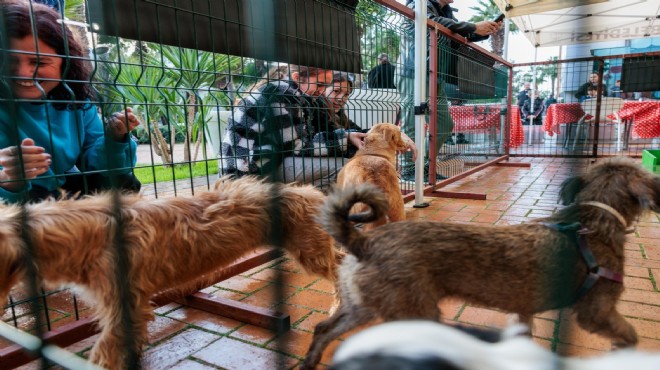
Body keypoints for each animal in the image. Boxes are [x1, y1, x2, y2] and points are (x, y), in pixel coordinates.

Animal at [300, 158, 660, 368]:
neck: (593, 222)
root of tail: (363, 240)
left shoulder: (523, 313)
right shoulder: (596, 311)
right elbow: (629, 335)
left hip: (361, 306)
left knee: (324, 330)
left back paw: (310, 361)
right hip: (414, 313)